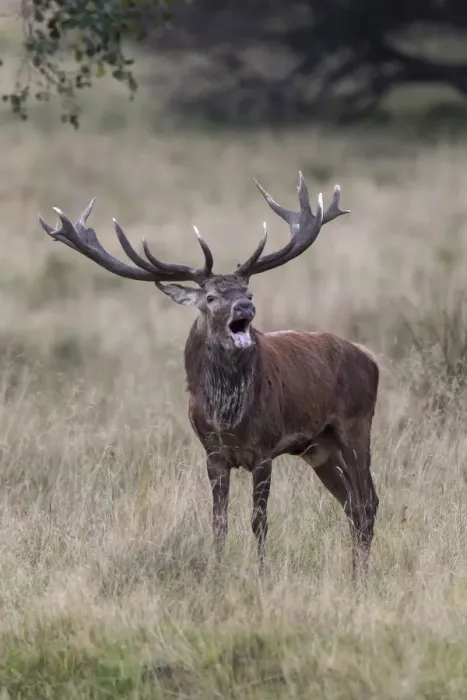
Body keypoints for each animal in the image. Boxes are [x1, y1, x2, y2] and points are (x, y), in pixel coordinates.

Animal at [38, 172, 379, 579]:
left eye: (248, 291)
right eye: (212, 298)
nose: (245, 307)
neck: (228, 417)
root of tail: (371, 359)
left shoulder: (264, 449)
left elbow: (259, 521)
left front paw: (261, 573)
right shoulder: (212, 453)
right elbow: (219, 521)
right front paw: (218, 568)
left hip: (355, 425)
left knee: (367, 502)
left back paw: (361, 575)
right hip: (318, 447)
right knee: (352, 503)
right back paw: (356, 570)